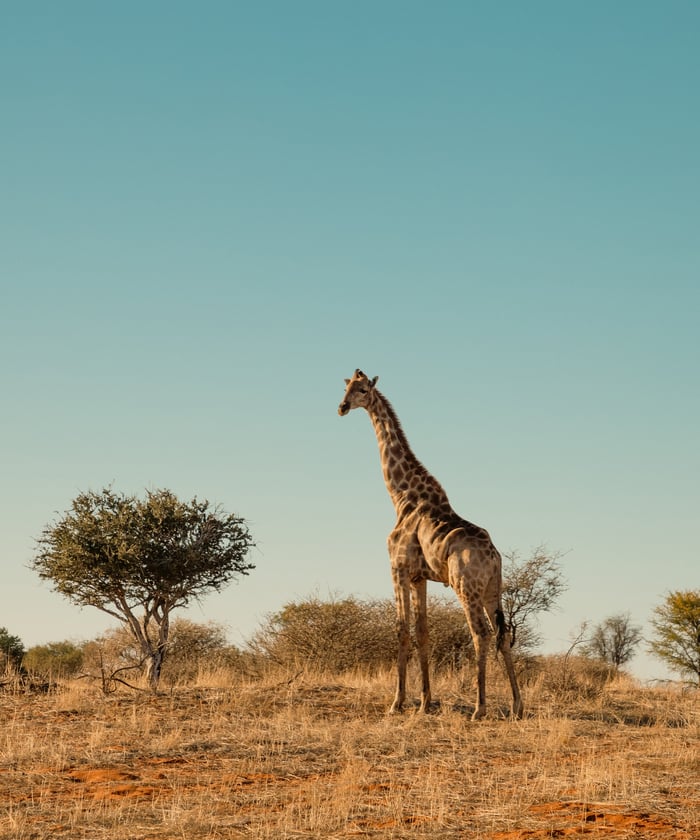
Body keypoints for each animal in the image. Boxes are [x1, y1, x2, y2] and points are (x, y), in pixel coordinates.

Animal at [338, 369, 523, 720]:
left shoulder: (397, 568)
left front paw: (397, 703)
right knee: (504, 635)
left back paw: (479, 708)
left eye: (363, 389)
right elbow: (423, 633)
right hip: (493, 590)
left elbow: (401, 630)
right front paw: (425, 702)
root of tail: (494, 556)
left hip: (466, 587)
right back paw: (518, 706)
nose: (341, 407)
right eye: (346, 387)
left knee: (480, 634)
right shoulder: (419, 577)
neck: (401, 497)